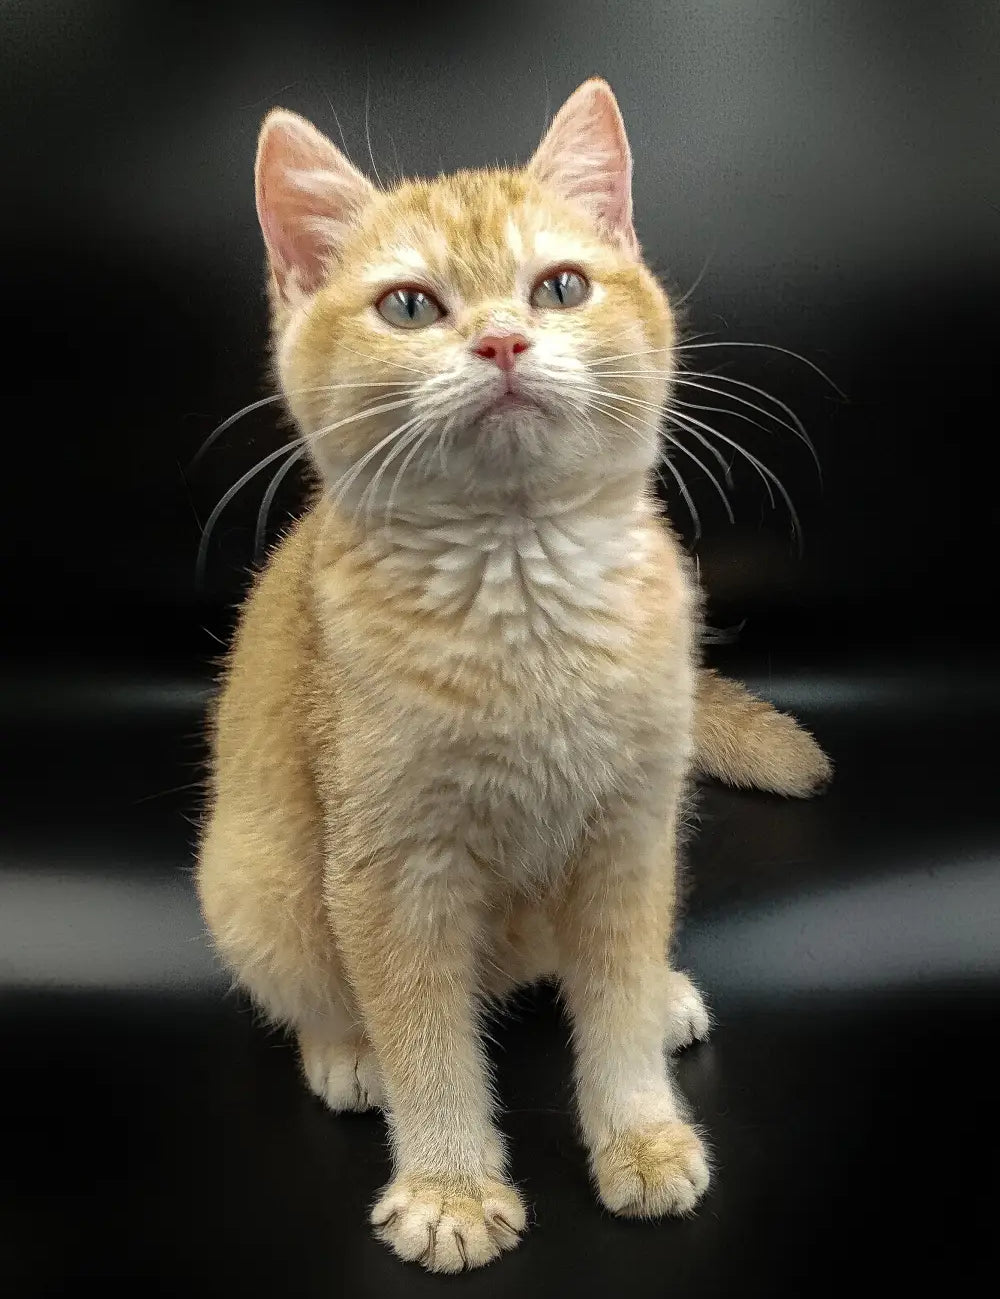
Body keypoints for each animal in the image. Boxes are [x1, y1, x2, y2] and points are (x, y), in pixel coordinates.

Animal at [194, 78, 825, 1267]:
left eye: (561, 286)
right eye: (408, 307)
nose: (501, 340)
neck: (522, 597)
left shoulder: (631, 829)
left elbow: (610, 997)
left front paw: (640, 1129)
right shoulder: (392, 871)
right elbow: (428, 1041)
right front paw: (447, 1185)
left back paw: (659, 992)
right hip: (253, 883)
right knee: (318, 988)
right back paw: (345, 1050)